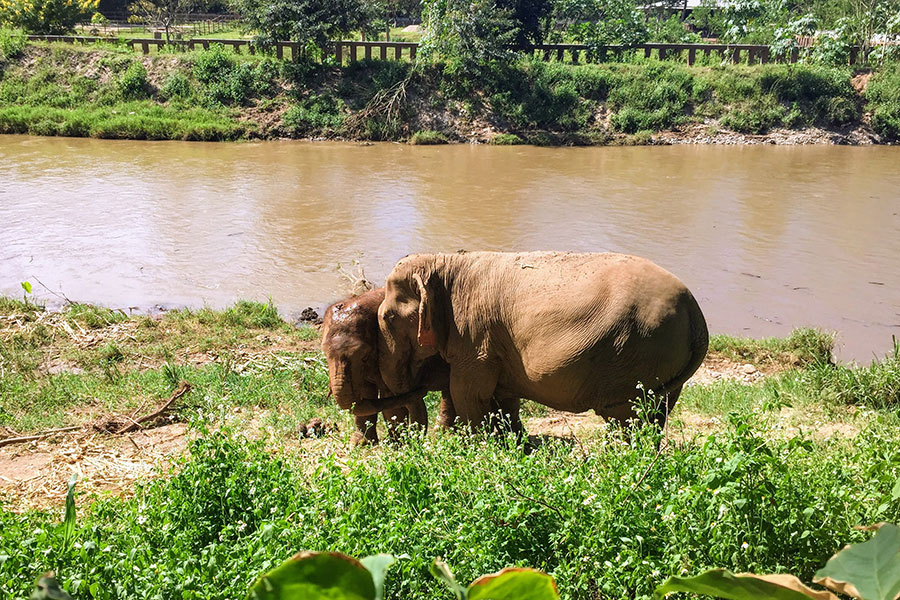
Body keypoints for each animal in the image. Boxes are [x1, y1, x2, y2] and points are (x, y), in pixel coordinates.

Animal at [376, 251, 708, 428]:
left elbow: (468, 393)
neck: (445, 261)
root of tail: (694, 307)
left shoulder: (474, 336)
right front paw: (513, 444)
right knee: (657, 412)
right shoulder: (496, 343)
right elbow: (503, 395)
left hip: (639, 350)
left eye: (387, 319)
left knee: (626, 414)